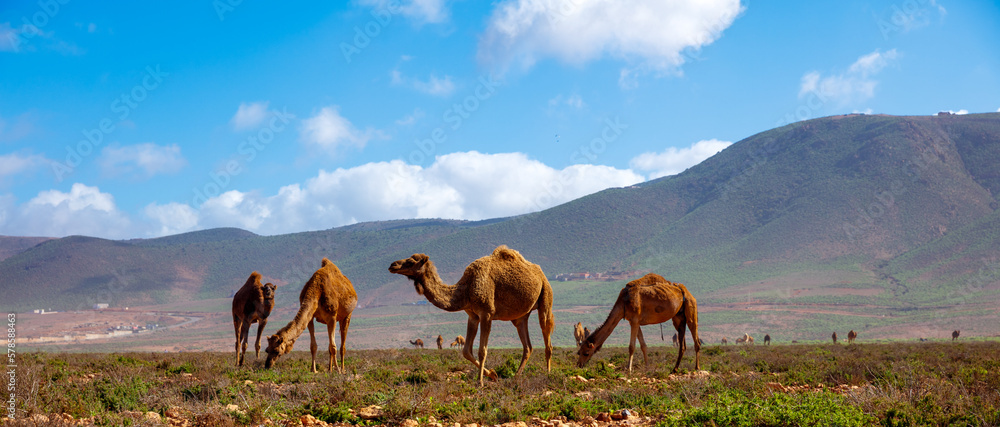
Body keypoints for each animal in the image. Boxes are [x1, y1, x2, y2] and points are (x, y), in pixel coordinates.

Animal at [386, 246, 556, 386]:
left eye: (411, 262)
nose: (392, 265)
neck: (466, 289)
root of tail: (540, 273)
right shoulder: (473, 316)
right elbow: (466, 351)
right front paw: (493, 374)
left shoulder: (487, 313)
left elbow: (482, 350)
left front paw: (480, 382)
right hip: (520, 316)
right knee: (528, 346)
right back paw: (516, 376)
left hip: (545, 296)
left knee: (546, 336)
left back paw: (548, 374)